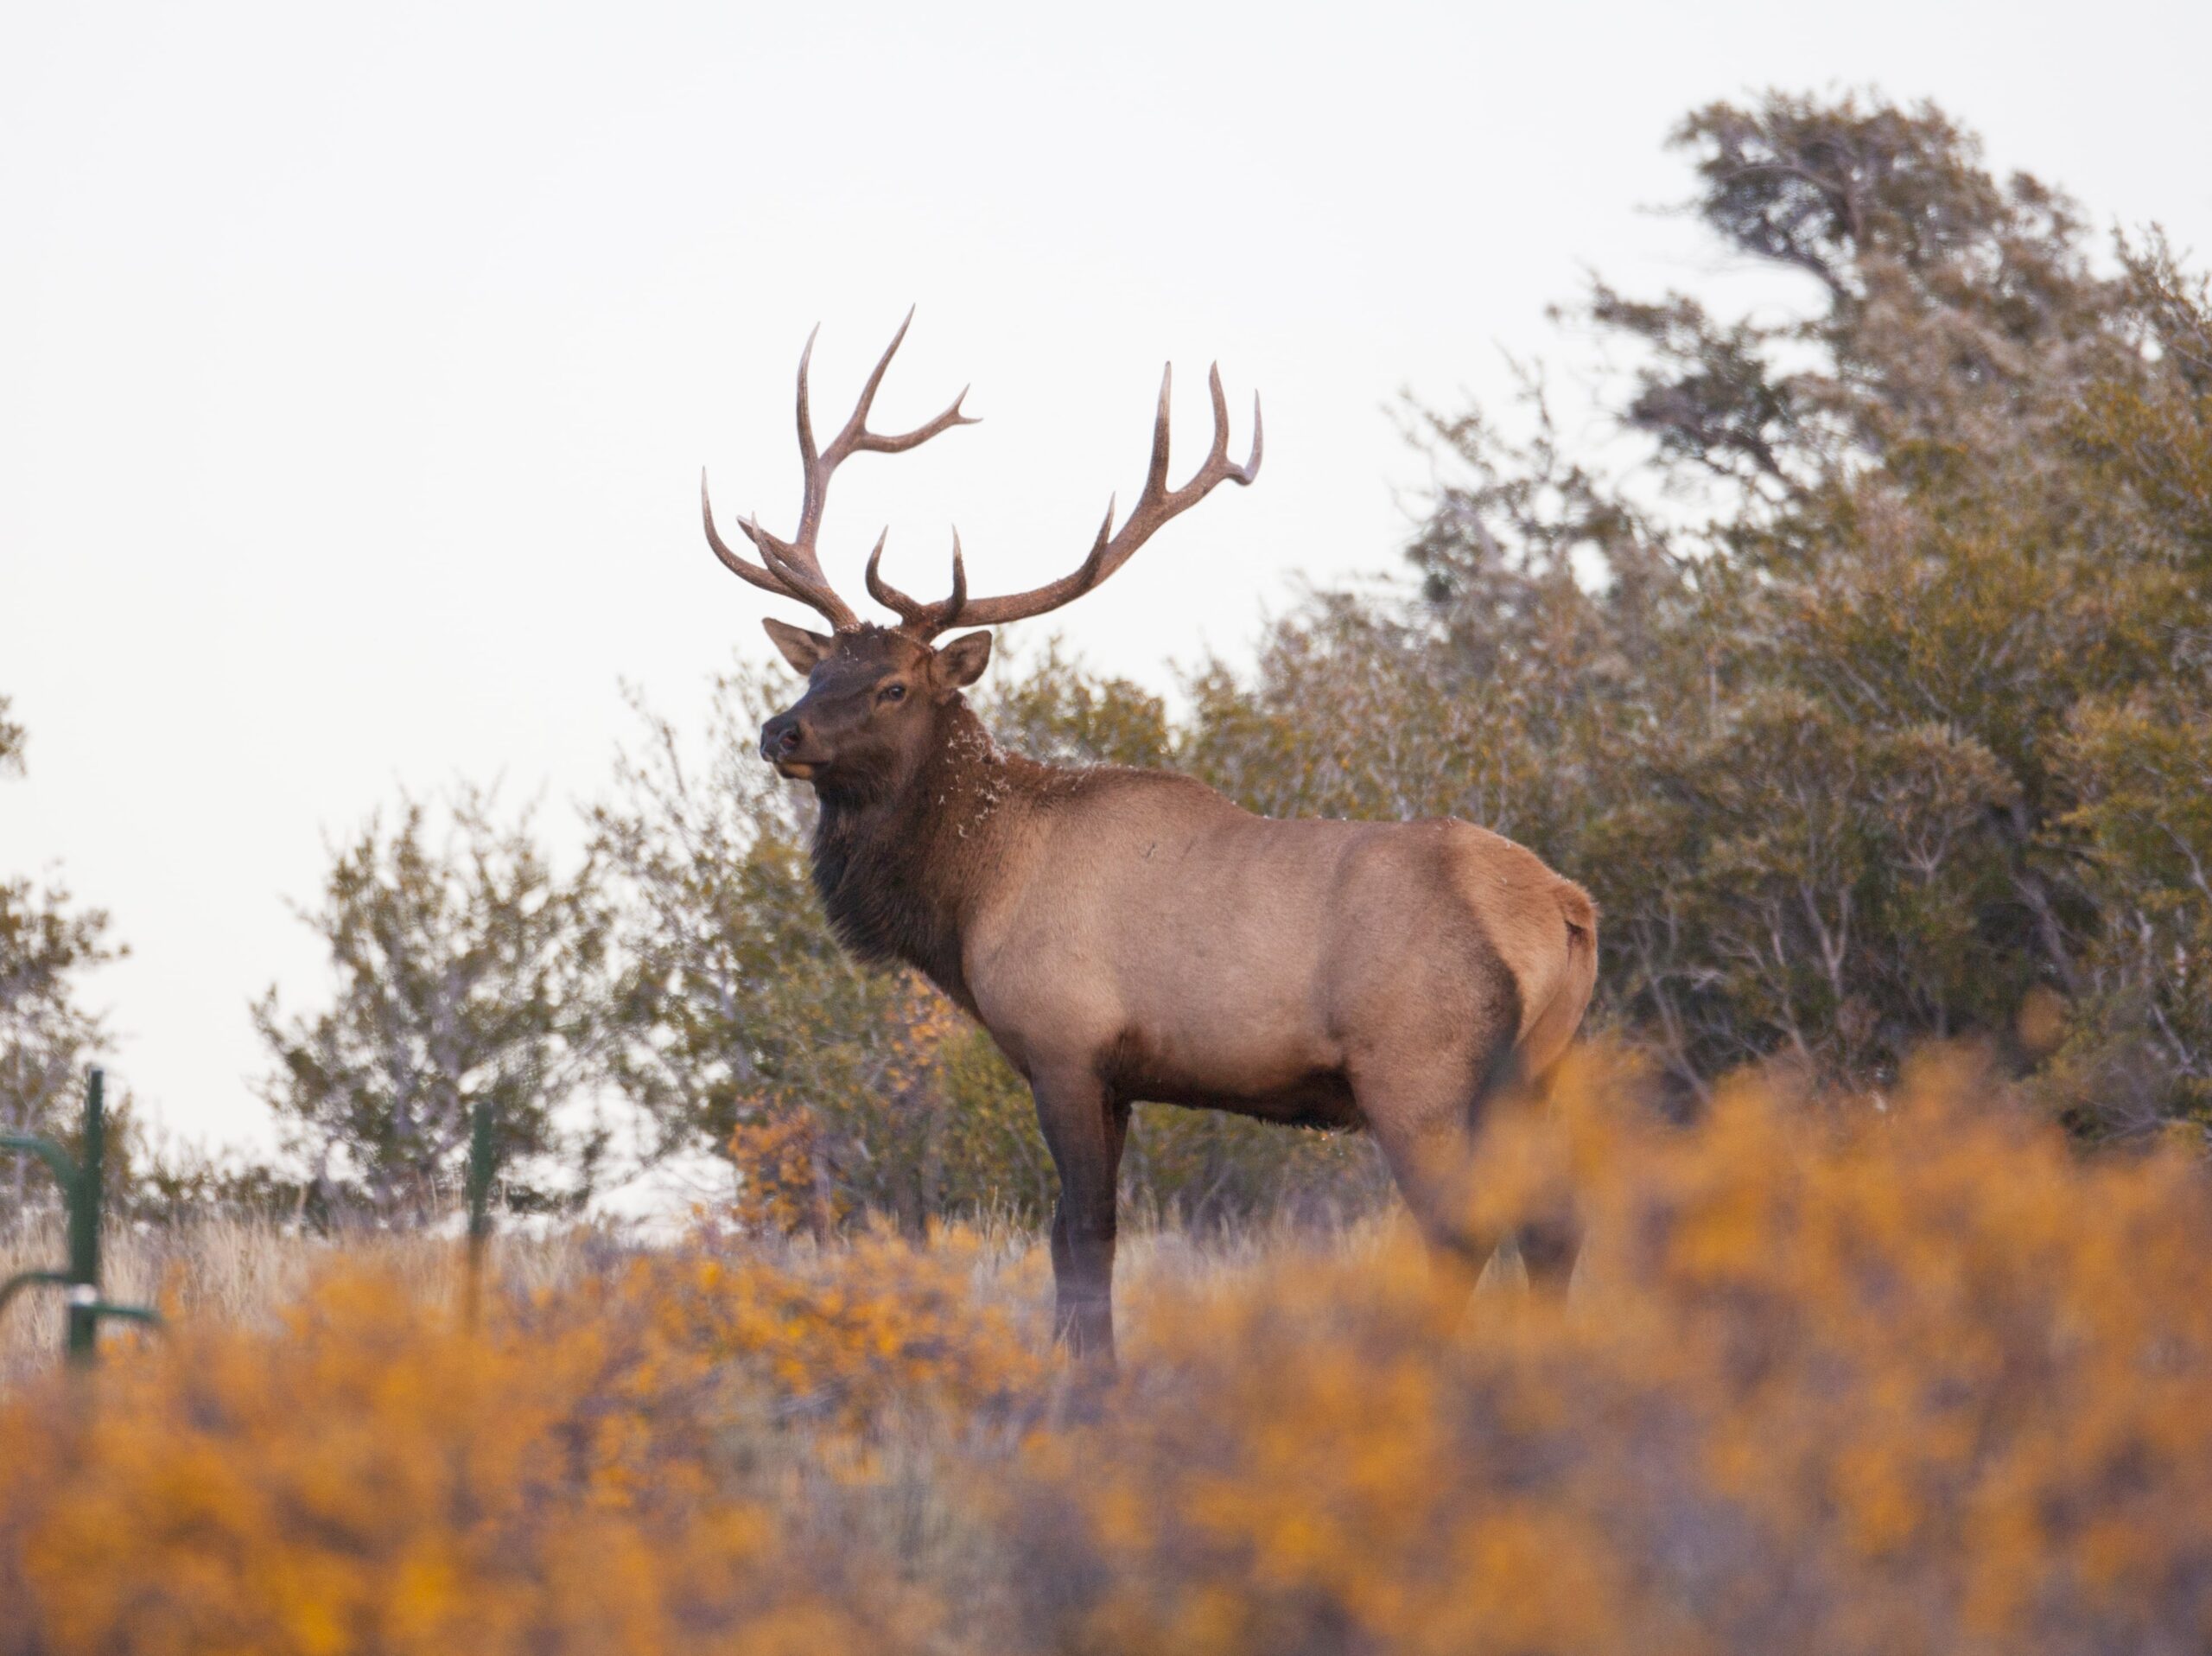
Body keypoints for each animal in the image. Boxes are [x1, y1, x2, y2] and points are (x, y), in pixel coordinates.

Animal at [701, 313, 1598, 1361]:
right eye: (817, 669)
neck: (971, 896)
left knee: (1460, 1228)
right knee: (1554, 1226)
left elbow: (1085, 1234)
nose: (781, 732)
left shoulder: (1064, 1046)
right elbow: (1075, 1238)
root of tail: (1565, 908)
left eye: (892, 686)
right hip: (1535, 1074)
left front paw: (1089, 1376)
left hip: (1420, 1069)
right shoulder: (1120, 1078)